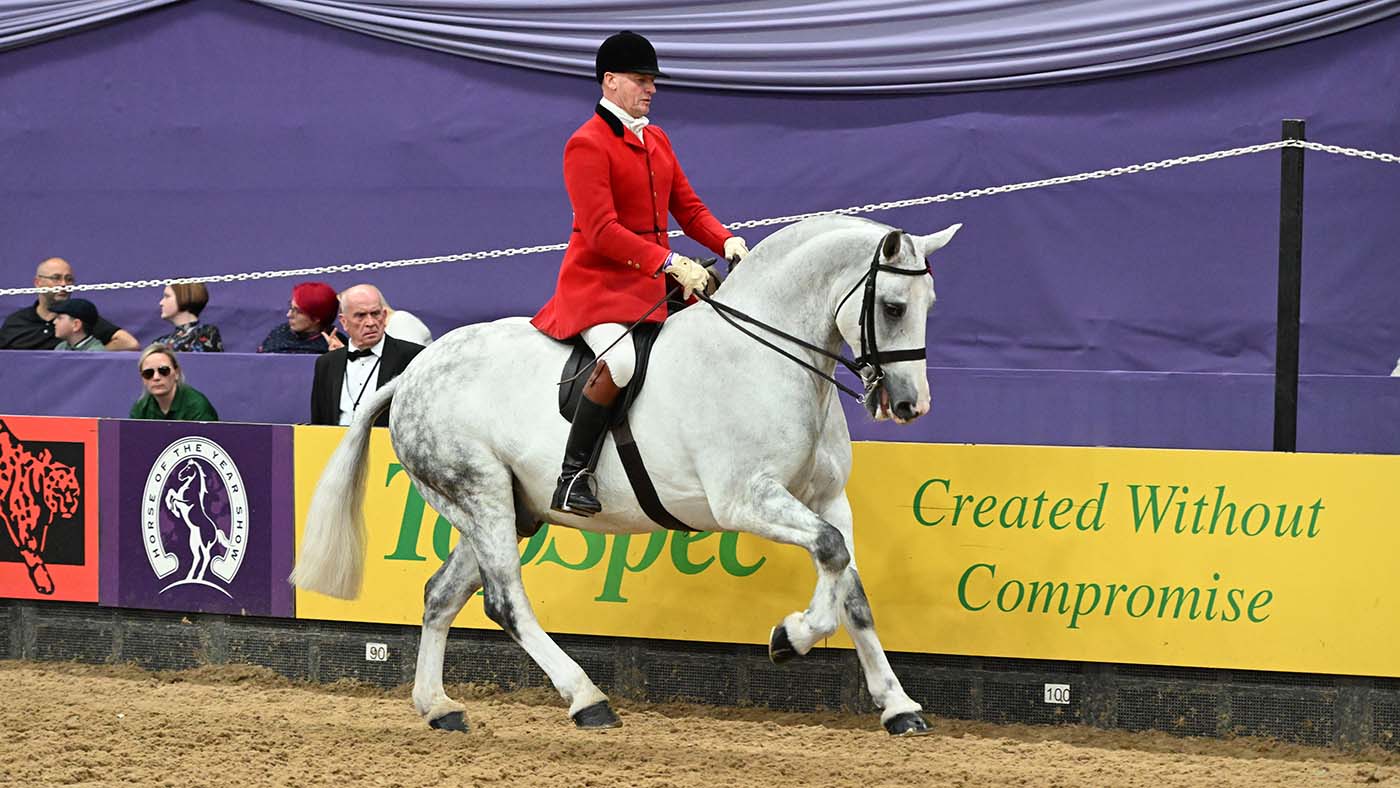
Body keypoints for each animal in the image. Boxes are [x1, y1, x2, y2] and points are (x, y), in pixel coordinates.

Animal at [291, 214, 962, 735]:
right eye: (893, 307)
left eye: (931, 305)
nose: (910, 406)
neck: (764, 357)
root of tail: (412, 373)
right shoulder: (745, 499)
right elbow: (829, 552)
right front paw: (790, 636)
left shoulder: (827, 497)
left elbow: (851, 585)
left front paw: (898, 706)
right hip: (480, 496)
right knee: (505, 601)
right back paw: (587, 699)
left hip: (505, 510)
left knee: (440, 595)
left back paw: (439, 708)